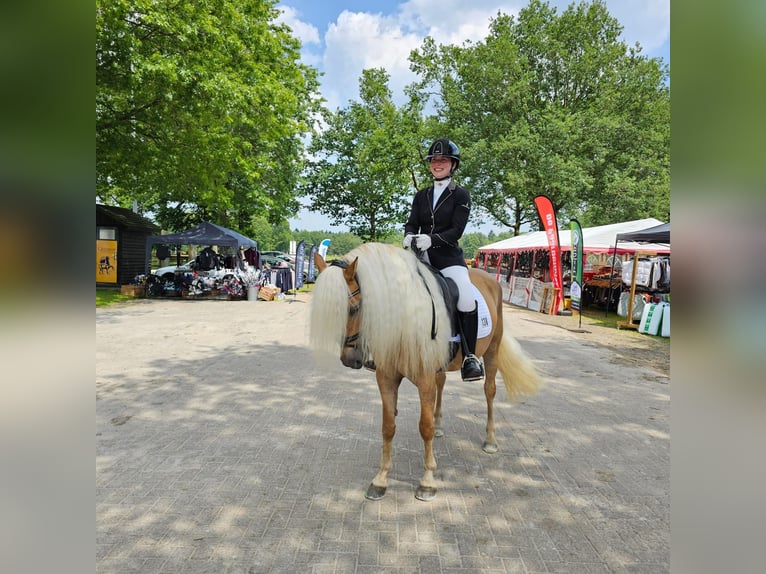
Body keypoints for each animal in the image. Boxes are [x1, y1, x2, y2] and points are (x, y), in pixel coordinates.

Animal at [308, 241, 544, 502]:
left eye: (355, 308)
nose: (349, 360)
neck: (404, 319)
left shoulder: (424, 380)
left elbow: (425, 427)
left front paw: (427, 482)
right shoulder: (387, 378)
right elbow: (388, 427)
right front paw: (380, 479)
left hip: (492, 350)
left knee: (489, 390)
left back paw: (490, 440)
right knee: (442, 385)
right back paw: (442, 426)